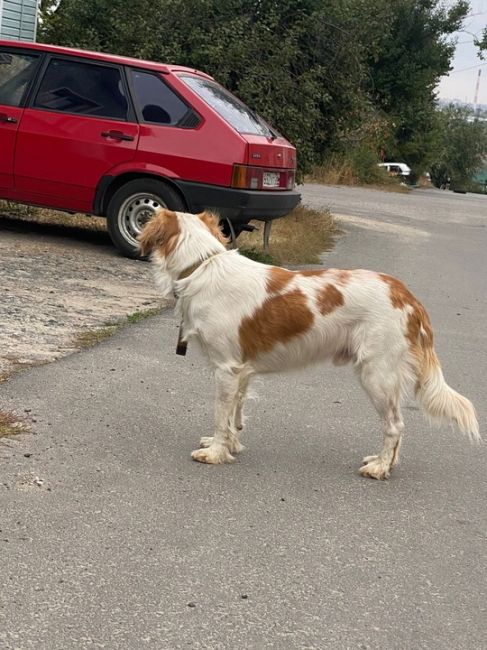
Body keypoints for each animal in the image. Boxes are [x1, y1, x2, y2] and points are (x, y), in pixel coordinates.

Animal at [138, 208, 480, 476]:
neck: (203, 265)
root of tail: (406, 294)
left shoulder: (226, 368)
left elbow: (221, 416)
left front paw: (215, 453)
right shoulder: (241, 371)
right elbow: (236, 413)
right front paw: (230, 446)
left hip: (377, 376)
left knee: (395, 425)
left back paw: (379, 467)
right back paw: (387, 462)